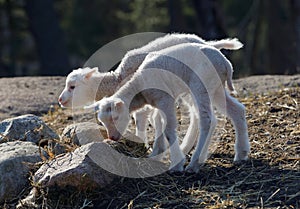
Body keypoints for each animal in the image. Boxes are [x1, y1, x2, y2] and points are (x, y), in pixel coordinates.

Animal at [57, 32, 243, 153]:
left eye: (72, 86)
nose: (60, 100)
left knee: (199, 115)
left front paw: (144, 144)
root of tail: (209, 44)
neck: (118, 79)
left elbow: (142, 120)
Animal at [86, 42, 251, 173]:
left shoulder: (165, 99)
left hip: (201, 85)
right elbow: (158, 122)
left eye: (116, 117)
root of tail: (226, 63)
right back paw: (241, 154)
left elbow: (168, 129)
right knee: (237, 110)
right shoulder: (158, 102)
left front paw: (176, 164)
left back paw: (194, 164)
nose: (112, 137)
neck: (140, 87)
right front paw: (156, 154)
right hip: (216, 87)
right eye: (102, 122)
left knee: (207, 120)